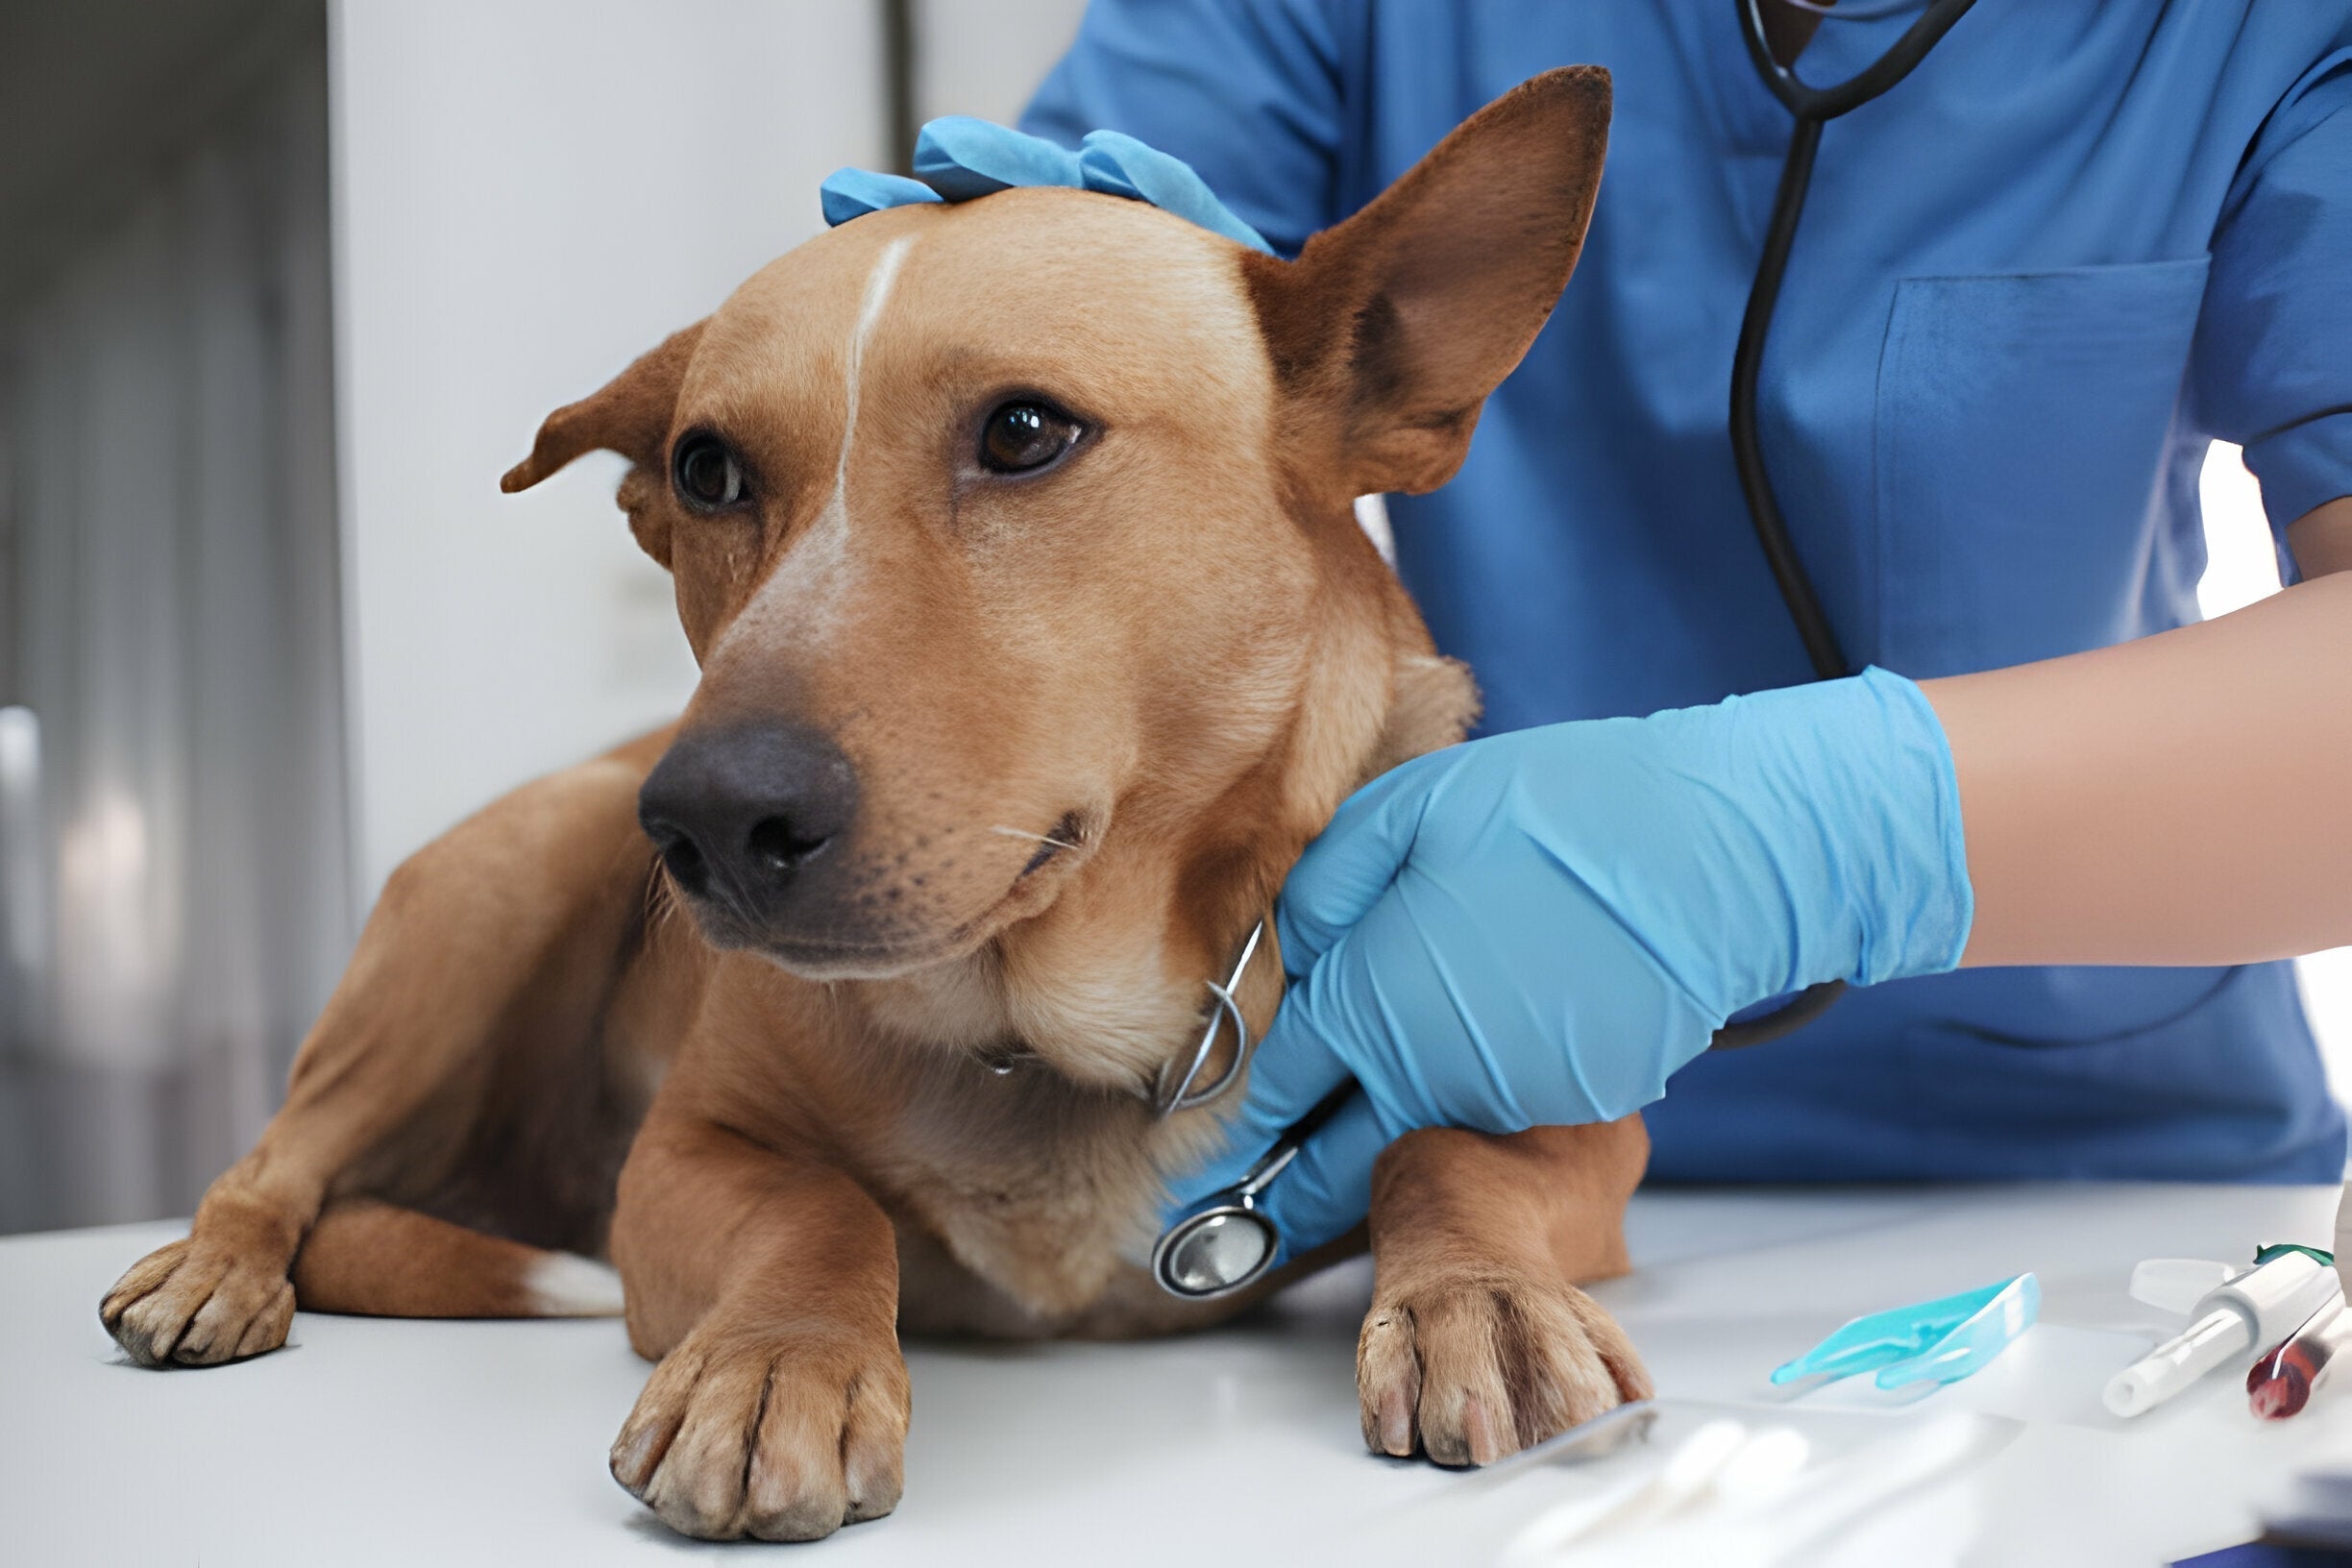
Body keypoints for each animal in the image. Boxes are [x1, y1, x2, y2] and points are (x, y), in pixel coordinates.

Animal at [101, 67, 1646, 1542]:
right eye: (705, 470)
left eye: (1024, 431)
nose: (708, 821)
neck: (1040, 1025)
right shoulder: (678, 1165)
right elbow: (820, 1205)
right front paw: (773, 1358)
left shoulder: (1585, 1126)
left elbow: (1451, 1153)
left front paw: (1481, 1298)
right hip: (505, 880)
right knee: (278, 1158)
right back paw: (215, 1269)